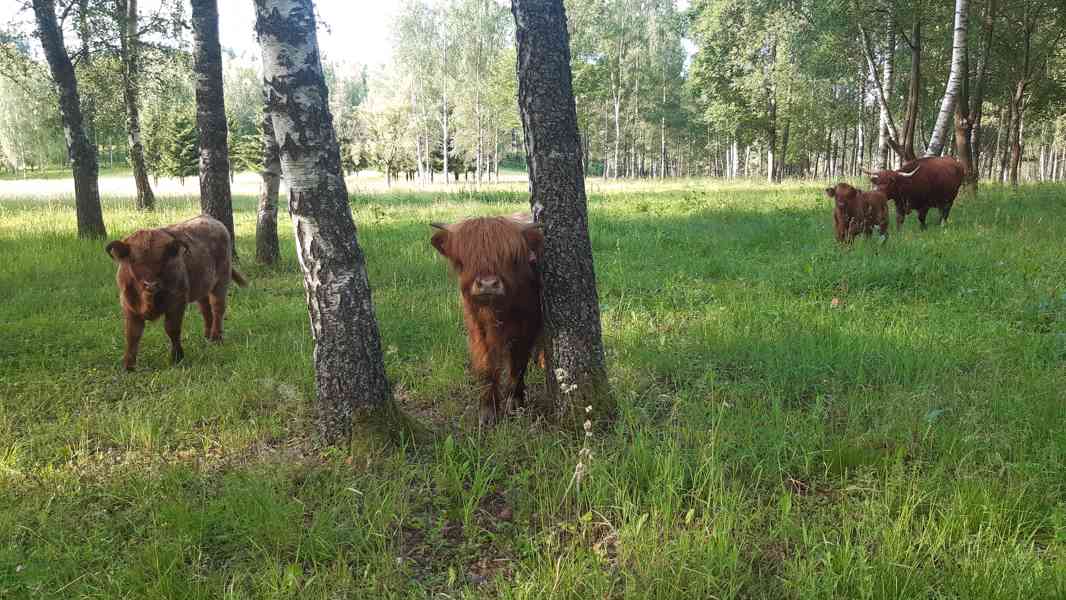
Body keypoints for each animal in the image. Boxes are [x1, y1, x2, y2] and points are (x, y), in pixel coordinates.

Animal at [103, 213, 245, 368]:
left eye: (163, 259)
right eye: (133, 260)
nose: (151, 284)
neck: (148, 299)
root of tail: (209, 218)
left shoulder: (177, 302)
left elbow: (172, 329)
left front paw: (177, 357)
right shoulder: (129, 306)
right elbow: (132, 334)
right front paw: (128, 366)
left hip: (221, 282)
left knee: (218, 308)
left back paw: (216, 338)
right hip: (202, 287)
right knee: (206, 310)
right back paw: (207, 337)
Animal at [430, 213, 545, 424]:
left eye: (511, 257)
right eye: (465, 258)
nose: (488, 284)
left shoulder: (526, 328)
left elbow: (518, 363)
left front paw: (515, 401)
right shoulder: (476, 327)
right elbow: (486, 365)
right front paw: (488, 410)